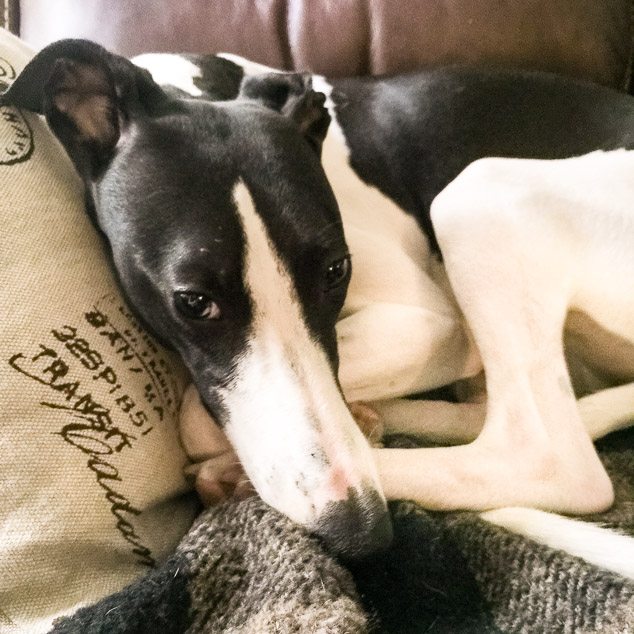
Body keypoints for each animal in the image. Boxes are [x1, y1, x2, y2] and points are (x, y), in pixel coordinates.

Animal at [7, 39, 632, 564]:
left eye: (337, 271)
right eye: (192, 302)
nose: (361, 531)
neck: (200, 85)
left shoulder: (431, 322)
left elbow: (195, 414)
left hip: (478, 193)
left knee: (547, 458)